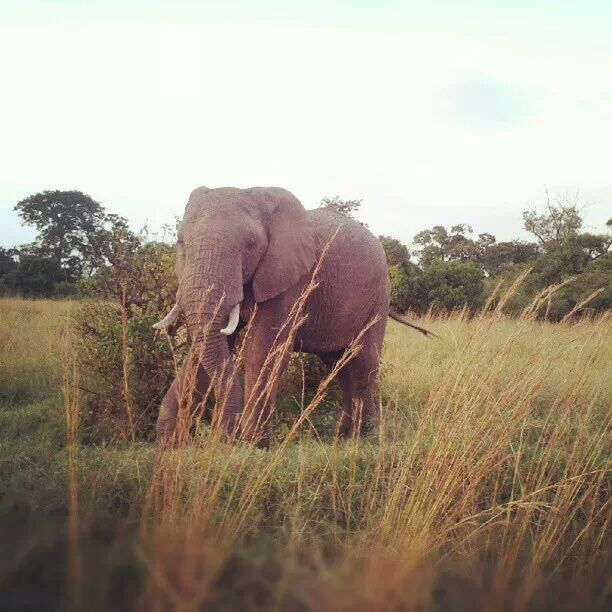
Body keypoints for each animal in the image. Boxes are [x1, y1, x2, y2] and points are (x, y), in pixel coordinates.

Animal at [153, 186, 430, 444]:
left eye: (251, 245)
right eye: (180, 241)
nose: (221, 435)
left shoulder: (291, 279)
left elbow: (263, 351)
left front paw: (251, 446)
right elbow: (203, 350)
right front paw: (168, 442)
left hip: (378, 295)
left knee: (364, 359)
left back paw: (362, 439)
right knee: (339, 364)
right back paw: (342, 437)